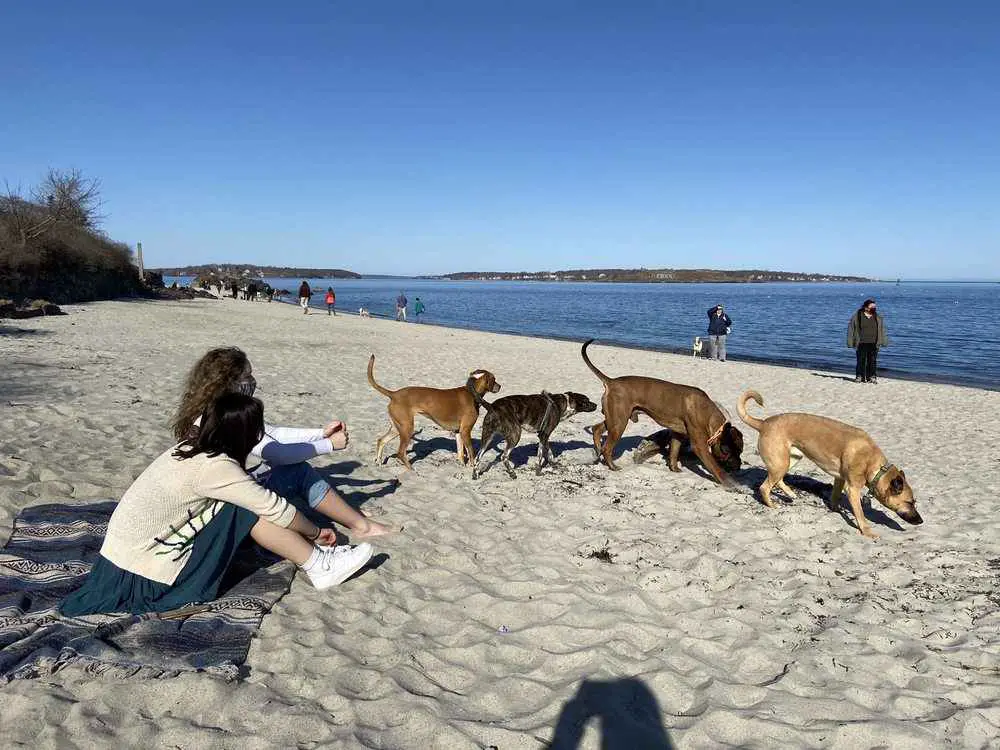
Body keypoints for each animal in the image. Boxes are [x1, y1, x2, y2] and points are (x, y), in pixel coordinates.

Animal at [368, 356, 500, 470]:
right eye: (494, 379)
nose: (500, 386)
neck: (471, 392)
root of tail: (394, 394)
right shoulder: (465, 431)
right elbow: (471, 452)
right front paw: (472, 467)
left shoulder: (458, 432)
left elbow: (461, 453)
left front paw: (462, 465)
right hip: (407, 428)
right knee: (400, 452)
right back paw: (412, 470)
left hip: (398, 428)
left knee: (381, 441)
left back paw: (379, 461)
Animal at [580, 340, 744, 490]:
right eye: (731, 451)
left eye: (741, 451)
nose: (739, 466)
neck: (708, 413)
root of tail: (612, 382)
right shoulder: (700, 446)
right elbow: (716, 468)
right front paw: (730, 483)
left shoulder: (678, 435)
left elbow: (674, 453)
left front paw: (674, 468)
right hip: (619, 423)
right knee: (607, 448)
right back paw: (612, 465)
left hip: (614, 419)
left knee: (596, 429)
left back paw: (597, 448)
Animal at [736, 388, 920, 540]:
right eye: (910, 502)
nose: (921, 521)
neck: (875, 466)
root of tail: (764, 423)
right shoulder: (853, 489)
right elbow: (860, 515)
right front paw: (867, 531)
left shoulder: (840, 479)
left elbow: (835, 496)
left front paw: (835, 508)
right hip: (781, 463)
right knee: (764, 487)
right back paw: (771, 504)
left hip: (789, 460)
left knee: (778, 480)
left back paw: (790, 493)